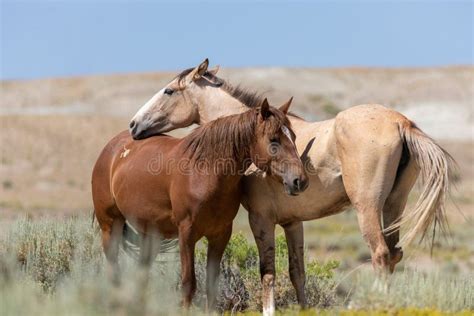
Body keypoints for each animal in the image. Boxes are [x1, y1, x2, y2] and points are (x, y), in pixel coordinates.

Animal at [91, 97, 308, 308]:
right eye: (274, 140)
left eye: (294, 137)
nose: (300, 181)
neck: (206, 172)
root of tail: (111, 149)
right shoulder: (186, 234)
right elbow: (188, 284)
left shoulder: (220, 235)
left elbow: (211, 286)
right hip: (110, 226)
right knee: (113, 271)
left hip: (150, 234)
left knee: (141, 276)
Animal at [129, 58, 456, 314]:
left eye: (169, 90)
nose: (134, 125)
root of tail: (401, 122)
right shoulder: (292, 222)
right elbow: (297, 272)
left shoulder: (261, 219)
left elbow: (268, 272)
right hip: (393, 206)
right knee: (394, 254)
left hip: (368, 209)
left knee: (380, 255)